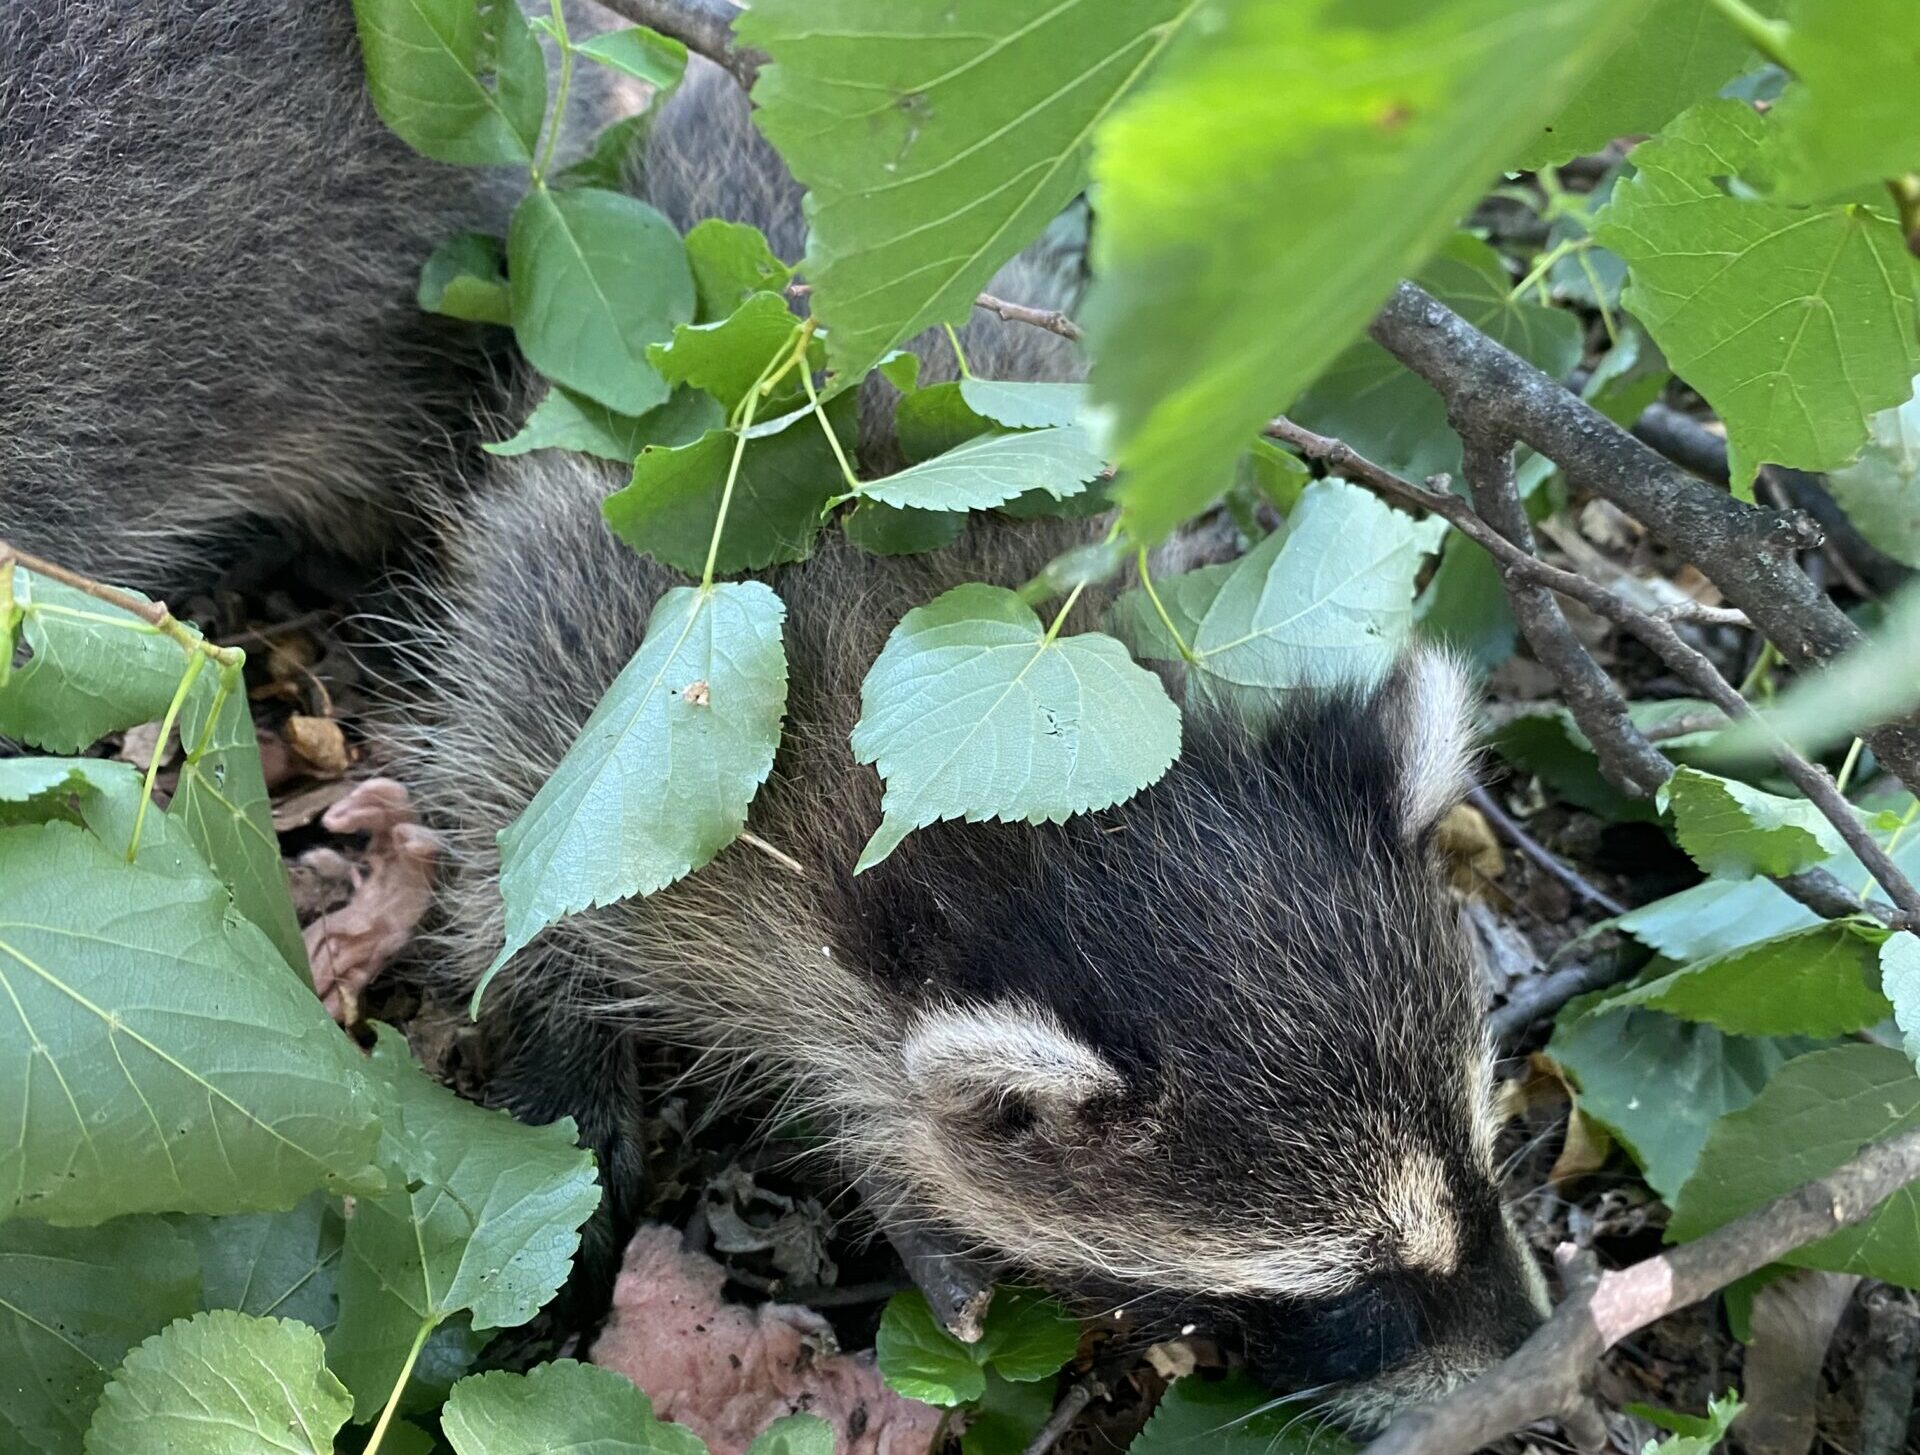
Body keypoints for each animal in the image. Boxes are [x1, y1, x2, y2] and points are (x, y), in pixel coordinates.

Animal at [0, 5, 1549, 1428]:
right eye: (1351, 1294)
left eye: (1486, 1150)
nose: (1540, 1358)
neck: (1031, 802)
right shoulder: (588, 706)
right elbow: (519, 898)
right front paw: (579, 1112)